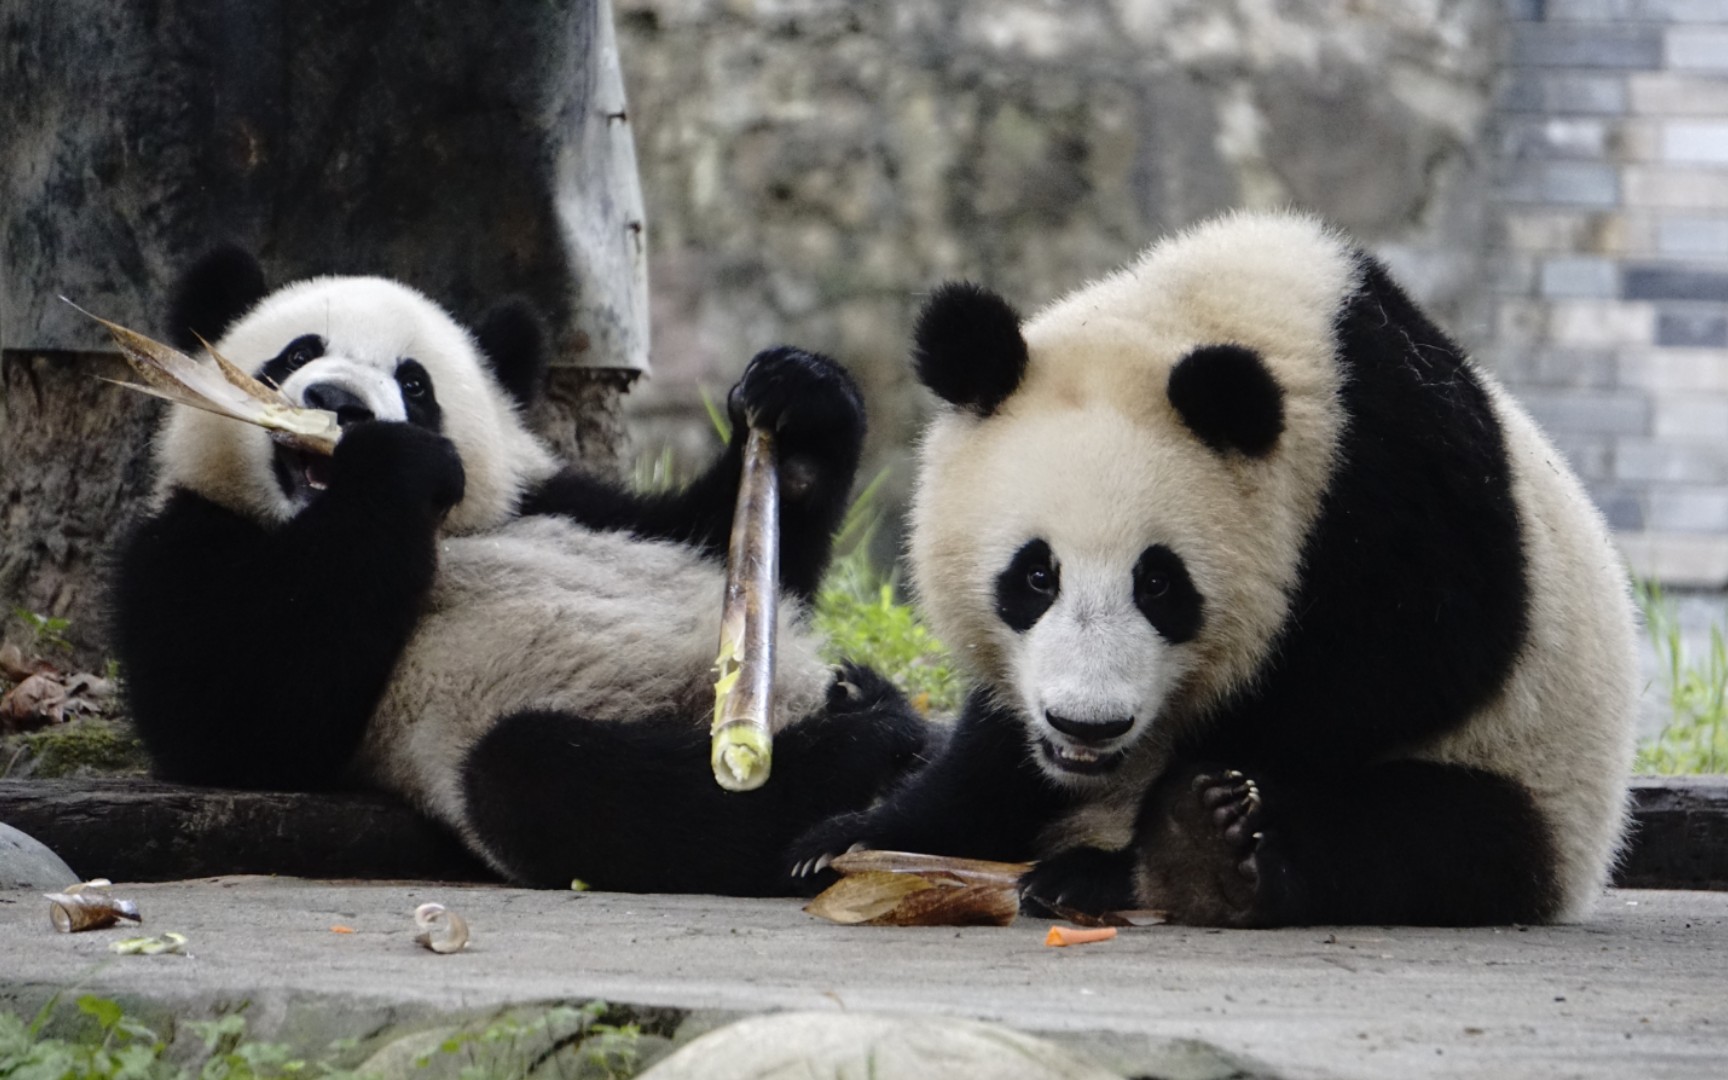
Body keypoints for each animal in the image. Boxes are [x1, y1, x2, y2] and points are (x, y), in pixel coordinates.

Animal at [114, 250, 933, 891]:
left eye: (415, 384)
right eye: (292, 355)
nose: (339, 402)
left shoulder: (554, 498)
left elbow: (723, 543)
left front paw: (802, 397)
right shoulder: (181, 543)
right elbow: (241, 721)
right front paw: (392, 466)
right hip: (503, 737)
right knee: (563, 781)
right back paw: (865, 747)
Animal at [791, 210, 1638, 926]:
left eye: (1159, 584)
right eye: (1035, 577)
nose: (1087, 724)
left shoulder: (1392, 480)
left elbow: (1415, 658)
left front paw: (1141, 840)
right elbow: (993, 746)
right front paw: (853, 835)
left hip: (1535, 780)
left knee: (1420, 834)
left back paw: (1179, 857)